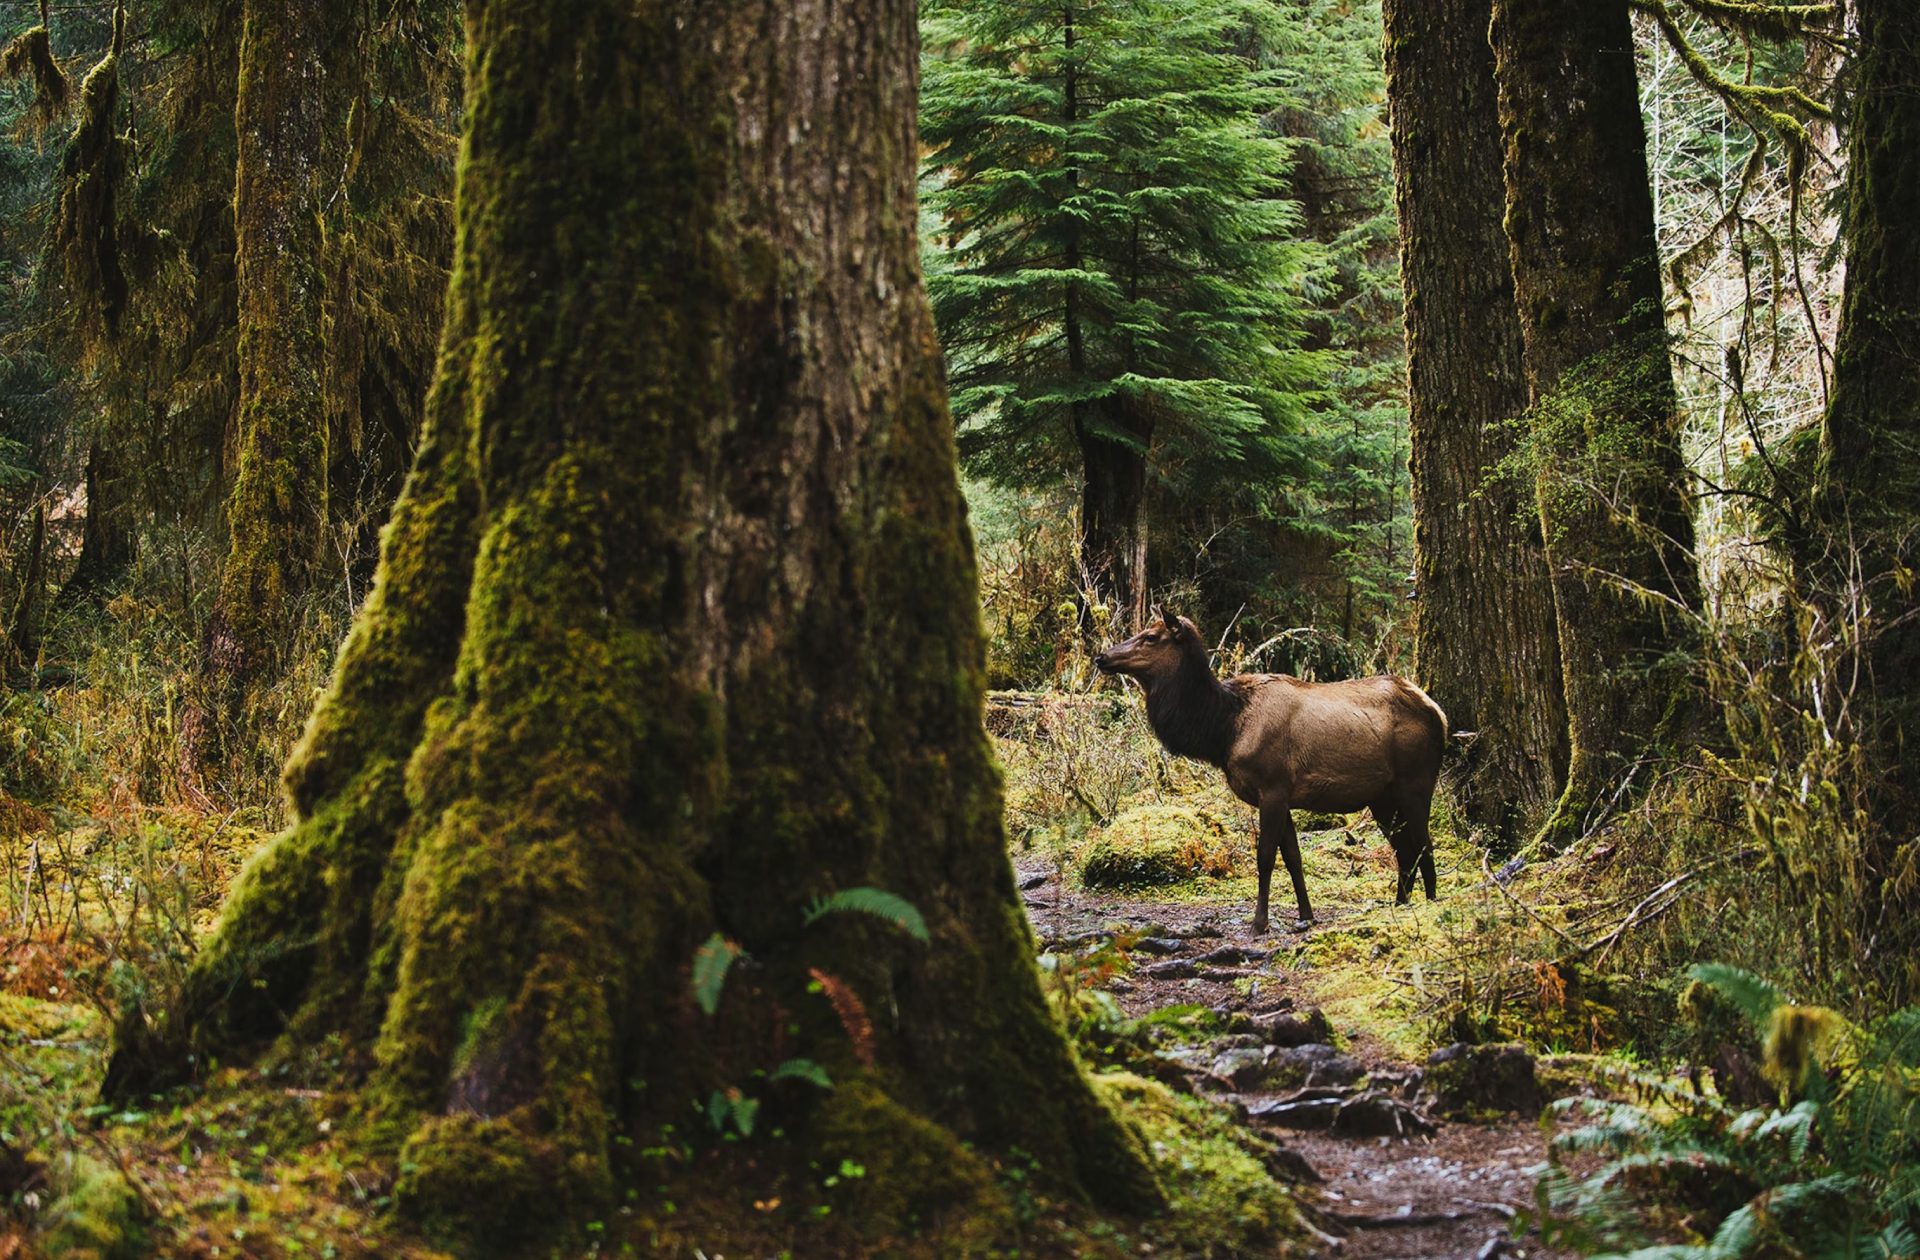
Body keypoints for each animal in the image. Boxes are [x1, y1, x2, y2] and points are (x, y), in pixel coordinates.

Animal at [1090, 610, 1443, 933]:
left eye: (1151, 637)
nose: (1102, 656)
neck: (1223, 730)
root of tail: (1437, 712)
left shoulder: (1272, 787)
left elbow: (1265, 856)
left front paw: (1259, 922)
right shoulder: (1283, 795)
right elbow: (1293, 858)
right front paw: (1306, 916)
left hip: (1416, 782)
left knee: (1424, 844)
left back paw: (1431, 904)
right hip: (1382, 798)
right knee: (1404, 850)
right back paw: (1401, 903)